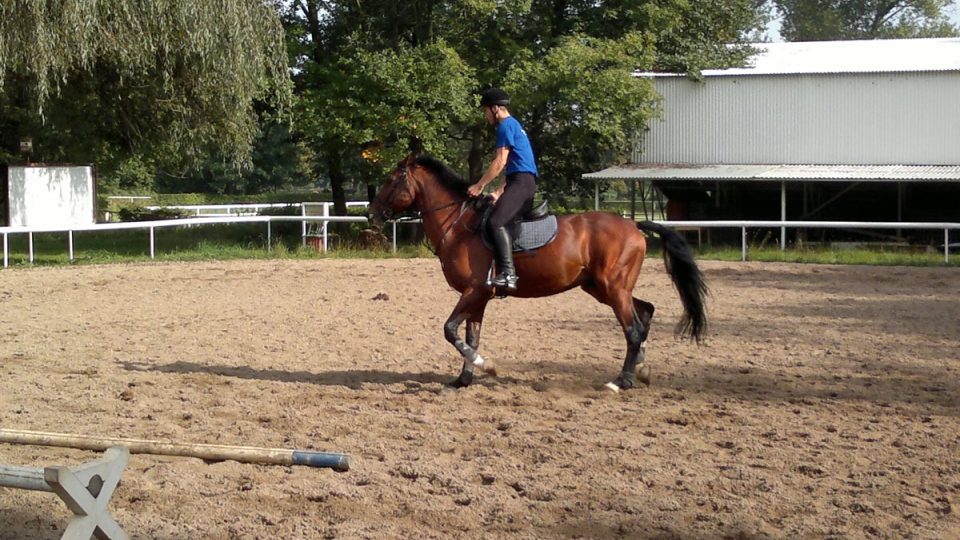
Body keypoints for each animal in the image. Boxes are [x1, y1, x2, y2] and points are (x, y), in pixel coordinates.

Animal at [366, 154, 704, 390]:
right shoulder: (479, 296)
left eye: (391, 180)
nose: (372, 213)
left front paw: (486, 366)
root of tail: (633, 225)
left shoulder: (475, 291)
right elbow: (471, 336)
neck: (460, 226)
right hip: (602, 288)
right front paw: (464, 379)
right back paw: (641, 371)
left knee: (633, 329)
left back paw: (620, 381)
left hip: (613, 288)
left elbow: (450, 330)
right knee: (645, 313)